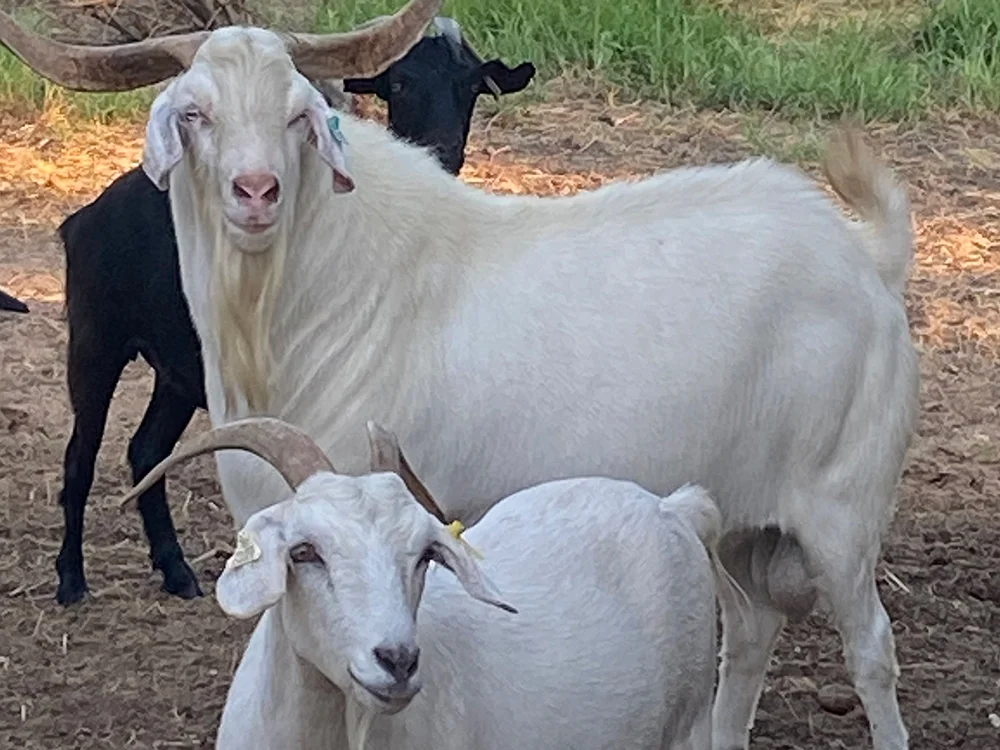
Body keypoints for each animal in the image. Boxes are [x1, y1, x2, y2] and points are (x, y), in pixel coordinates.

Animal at [43, 9, 522, 605]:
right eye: (400, 84)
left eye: (471, 87)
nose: (443, 147)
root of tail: (84, 216)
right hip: (95, 343)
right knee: (80, 457)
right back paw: (70, 578)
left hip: (175, 376)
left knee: (145, 449)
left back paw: (177, 570)